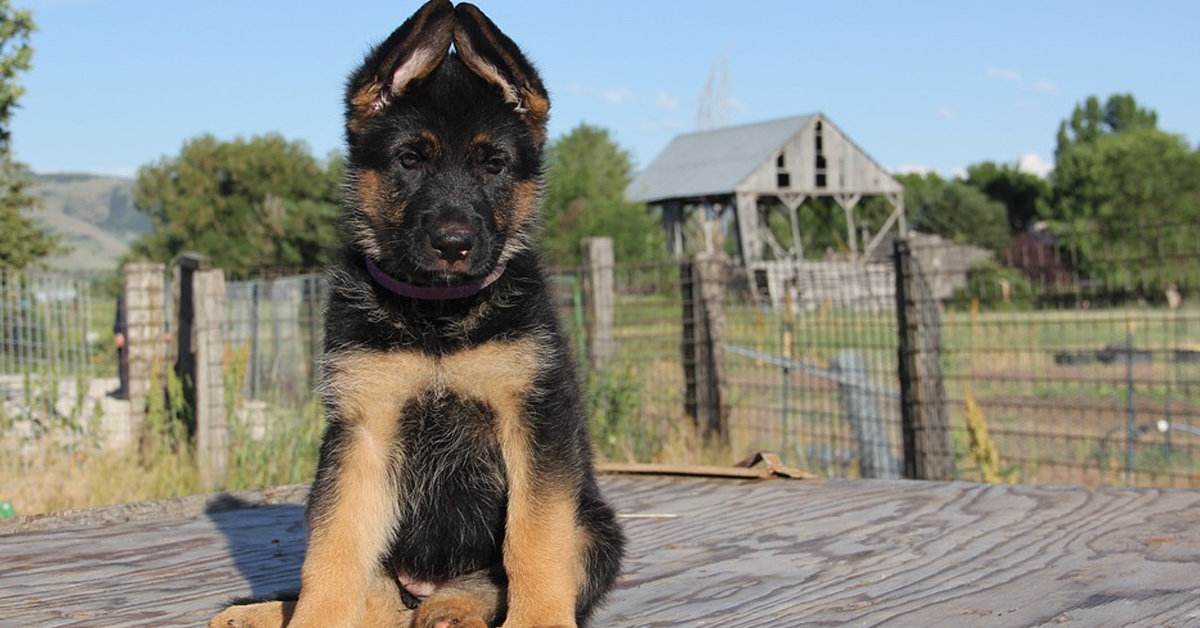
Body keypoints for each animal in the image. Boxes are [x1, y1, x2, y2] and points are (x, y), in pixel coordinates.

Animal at [213, 1, 628, 628]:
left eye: (493, 164)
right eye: (410, 160)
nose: (453, 245)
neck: (438, 316)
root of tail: (425, 587)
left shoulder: (535, 422)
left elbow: (533, 541)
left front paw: (536, 618)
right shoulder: (362, 431)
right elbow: (333, 551)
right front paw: (311, 615)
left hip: (597, 527)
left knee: (484, 580)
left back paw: (453, 608)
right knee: (376, 596)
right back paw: (258, 612)